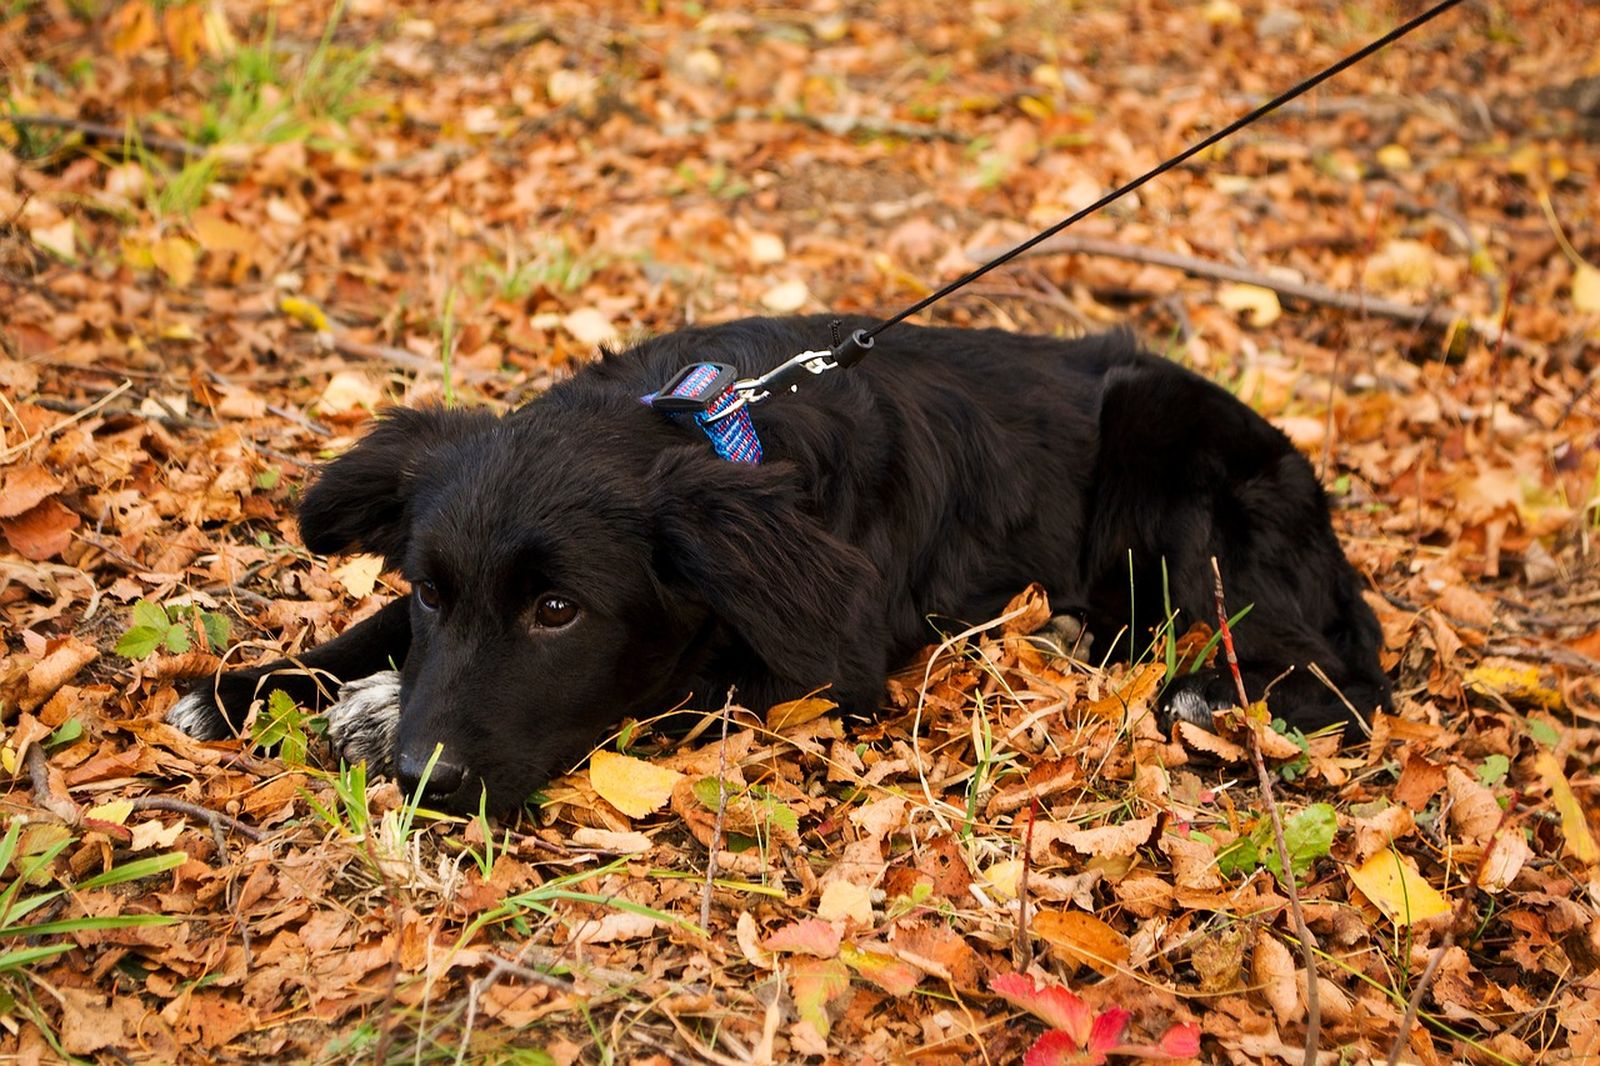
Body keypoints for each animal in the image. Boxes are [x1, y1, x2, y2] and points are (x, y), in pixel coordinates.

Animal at [168, 313, 1382, 806]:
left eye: (560, 613)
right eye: (430, 588)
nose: (426, 777)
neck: (721, 425)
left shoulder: (827, 665)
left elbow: (663, 686)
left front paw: (373, 715)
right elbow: (369, 631)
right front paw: (248, 689)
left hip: (1164, 456)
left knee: (1340, 676)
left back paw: (1204, 696)